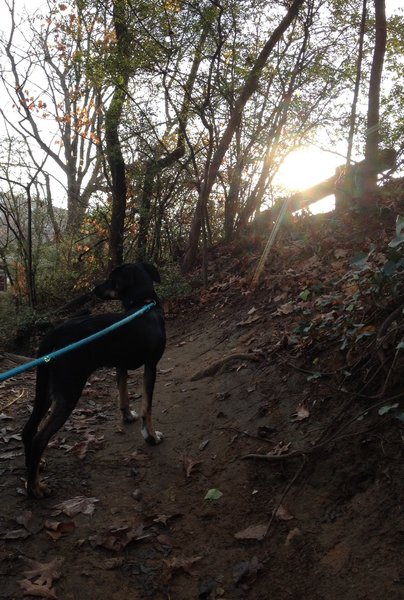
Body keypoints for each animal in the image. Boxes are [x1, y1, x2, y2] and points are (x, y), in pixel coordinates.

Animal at [22, 262, 166, 496]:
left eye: (111, 279)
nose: (93, 290)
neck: (144, 305)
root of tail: (53, 334)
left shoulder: (120, 365)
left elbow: (124, 395)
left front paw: (127, 416)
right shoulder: (151, 366)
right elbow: (147, 408)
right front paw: (151, 437)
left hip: (47, 391)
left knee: (28, 430)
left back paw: (33, 470)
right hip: (68, 392)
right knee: (39, 439)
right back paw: (35, 488)